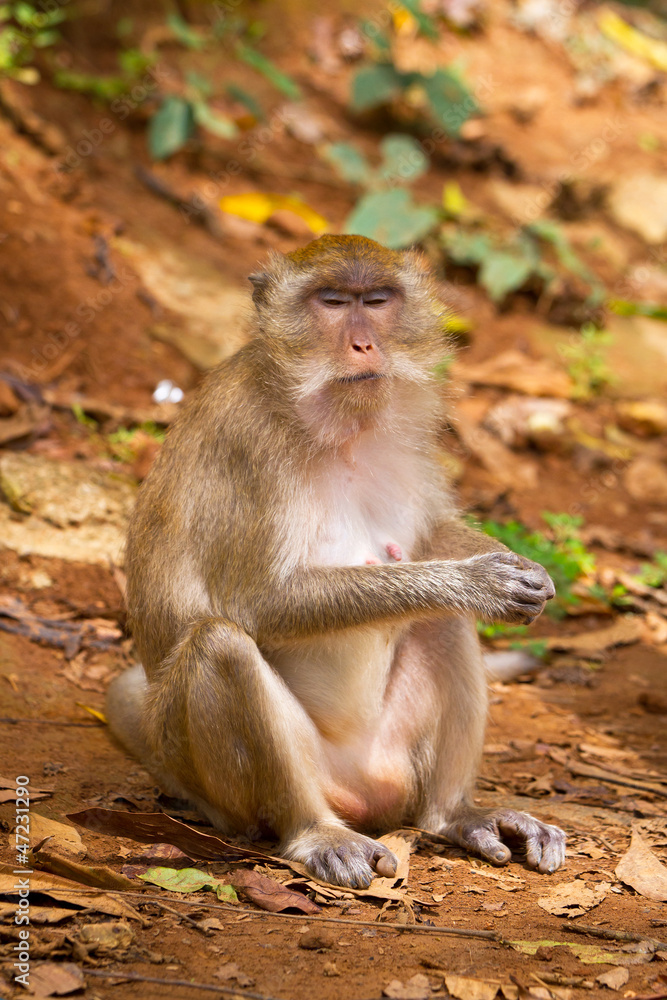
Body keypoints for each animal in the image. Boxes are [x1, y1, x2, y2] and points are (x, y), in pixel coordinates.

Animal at [107, 236, 568, 892]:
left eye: (375, 301)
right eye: (330, 302)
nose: (363, 344)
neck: (332, 422)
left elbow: (429, 533)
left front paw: (517, 568)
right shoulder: (248, 444)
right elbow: (258, 604)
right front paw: (477, 581)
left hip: (394, 757)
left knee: (441, 624)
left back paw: (458, 815)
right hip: (219, 786)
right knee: (220, 645)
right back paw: (314, 833)